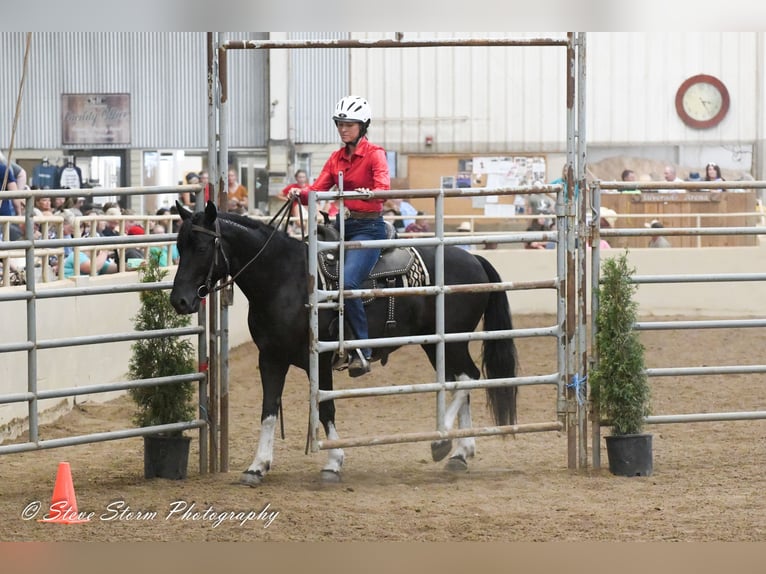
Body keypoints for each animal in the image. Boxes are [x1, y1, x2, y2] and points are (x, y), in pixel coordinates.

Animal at [170, 202, 520, 486]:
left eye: (202, 247)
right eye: (179, 246)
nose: (180, 300)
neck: (286, 278)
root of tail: (473, 258)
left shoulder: (322, 360)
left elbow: (326, 408)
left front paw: (333, 463)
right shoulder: (270, 358)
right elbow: (268, 411)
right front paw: (257, 467)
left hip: (451, 342)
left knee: (467, 378)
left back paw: (442, 444)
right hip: (438, 344)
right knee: (460, 380)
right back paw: (460, 452)